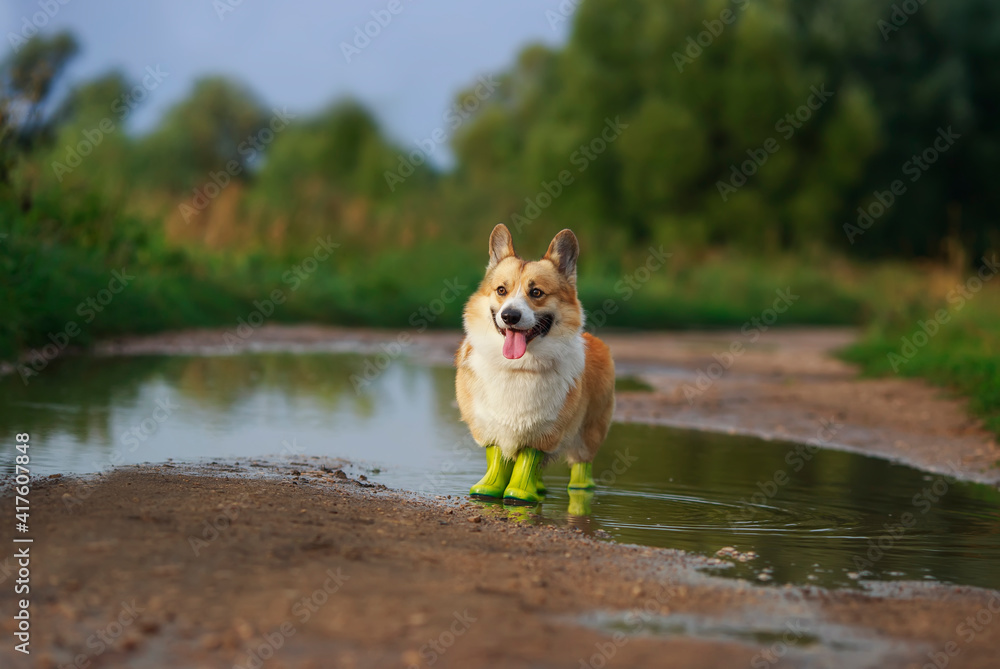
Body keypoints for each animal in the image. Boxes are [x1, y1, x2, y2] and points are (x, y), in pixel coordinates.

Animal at [456, 223, 612, 500]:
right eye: (501, 290)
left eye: (536, 292)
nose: (510, 316)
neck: (517, 366)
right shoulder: (489, 428)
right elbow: (498, 458)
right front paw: (488, 488)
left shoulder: (544, 433)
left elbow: (528, 460)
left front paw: (520, 494)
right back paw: (538, 489)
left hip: (589, 432)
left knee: (581, 464)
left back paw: (578, 487)